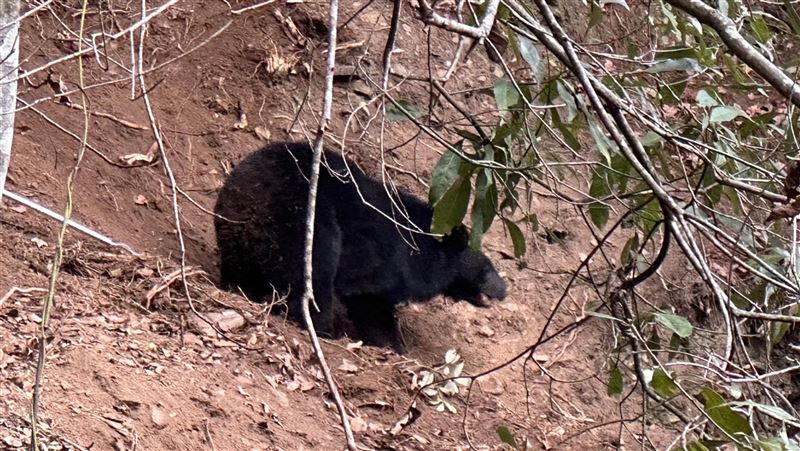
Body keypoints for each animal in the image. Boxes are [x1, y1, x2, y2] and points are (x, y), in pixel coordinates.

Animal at [214, 141, 507, 351]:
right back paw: (321, 328)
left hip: (238, 239)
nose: (505, 289)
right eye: (487, 269)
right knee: (314, 276)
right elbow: (370, 301)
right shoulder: (384, 259)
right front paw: (393, 345)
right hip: (302, 225)